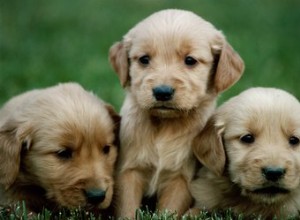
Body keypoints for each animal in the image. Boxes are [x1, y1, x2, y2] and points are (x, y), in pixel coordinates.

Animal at [109, 9, 245, 218]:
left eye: (190, 60)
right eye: (144, 59)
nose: (162, 92)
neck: (164, 125)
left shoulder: (181, 179)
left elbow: (169, 210)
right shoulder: (129, 171)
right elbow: (127, 209)